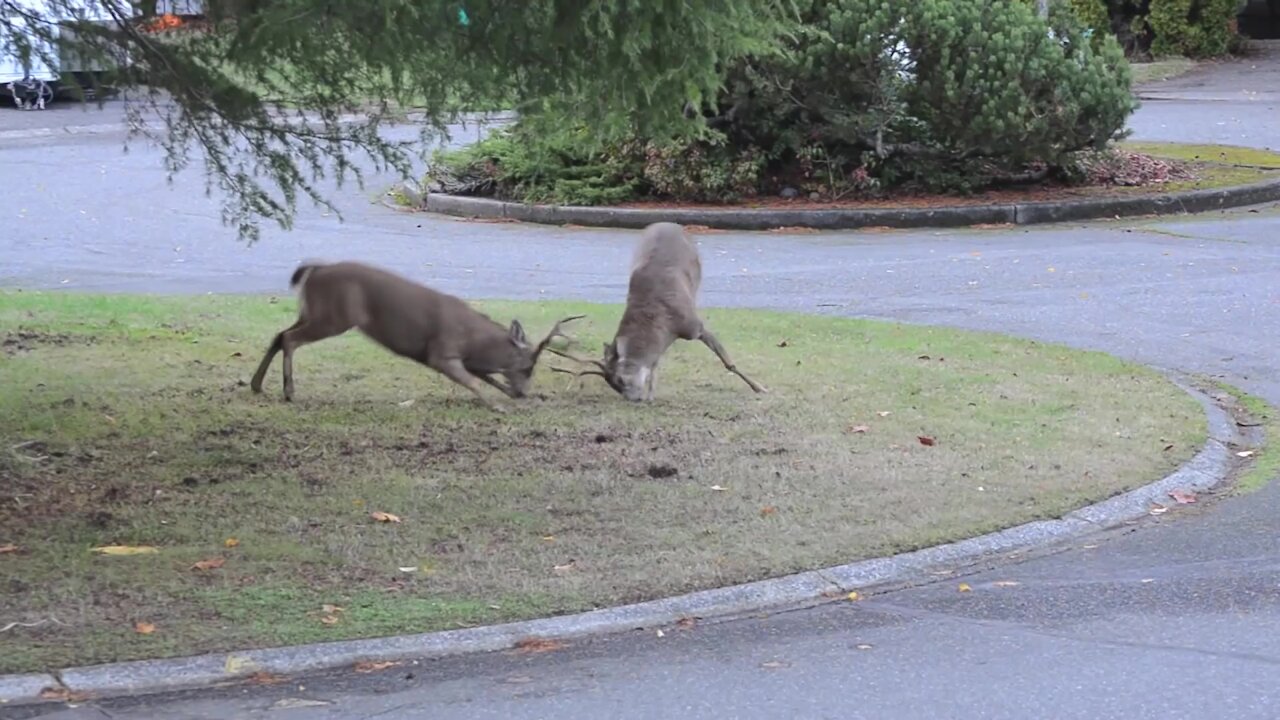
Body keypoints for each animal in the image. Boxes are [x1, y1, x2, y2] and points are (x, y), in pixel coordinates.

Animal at [245, 262, 586, 409]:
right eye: (528, 367)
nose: (524, 392)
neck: (474, 341)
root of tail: (314, 270)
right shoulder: (440, 352)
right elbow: (475, 381)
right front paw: (496, 406)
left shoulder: (463, 359)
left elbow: (485, 378)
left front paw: (508, 397)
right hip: (334, 316)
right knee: (289, 339)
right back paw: (289, 391)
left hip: (311, 312)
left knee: (279, 335)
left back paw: (257, 384)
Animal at [552, 221, 768, 399]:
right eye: (614, 386)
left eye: (620, 379)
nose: (633, 399)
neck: (664, 322)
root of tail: (667, 223)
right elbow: (654, 361)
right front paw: (651, 394)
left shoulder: (694, 326)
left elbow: (727, 362)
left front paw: (760, 387)